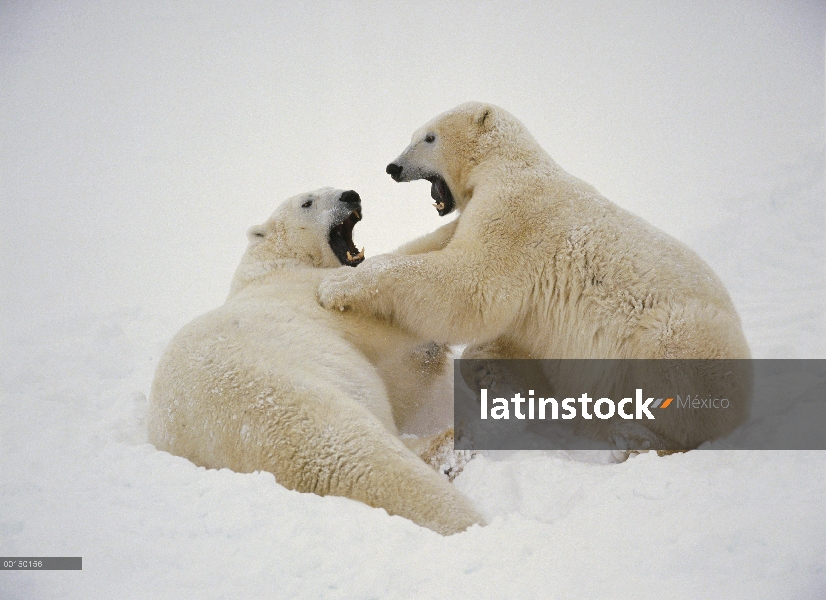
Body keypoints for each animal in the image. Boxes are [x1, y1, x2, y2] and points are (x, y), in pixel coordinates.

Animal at [149, 189, 482, 536]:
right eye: (307, 202)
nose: (351, 195)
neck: (269, 262)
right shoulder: (305, 288)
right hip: (296, 398)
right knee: (361, 448)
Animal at [318, 104, 752, 450]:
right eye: (416, 135)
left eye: (429, 137)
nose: (393, 167)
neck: (509, 162)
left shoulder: (517, 215)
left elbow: (471, 286)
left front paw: (335, 287)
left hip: (681, 339)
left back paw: (628, 432)